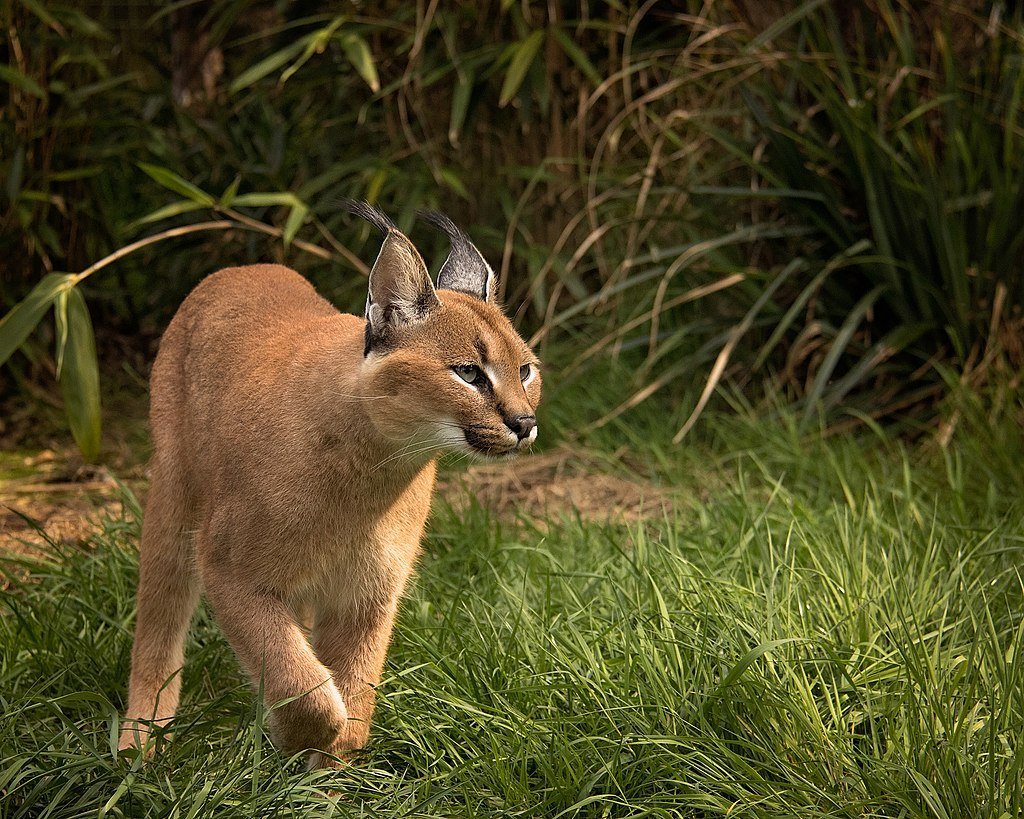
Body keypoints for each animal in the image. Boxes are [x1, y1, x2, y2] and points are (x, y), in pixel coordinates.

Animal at [117, 204, 544, 769]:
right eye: (469, 373)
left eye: (525, 370)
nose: (524, 422)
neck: (375, 471)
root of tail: (245, 268)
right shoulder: (229, 567)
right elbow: (300, 678)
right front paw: (302, 737)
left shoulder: (369, 593)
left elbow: (352, 687)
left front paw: (326, 774)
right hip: (174, 500)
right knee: (159, 620)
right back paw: (139, 743)